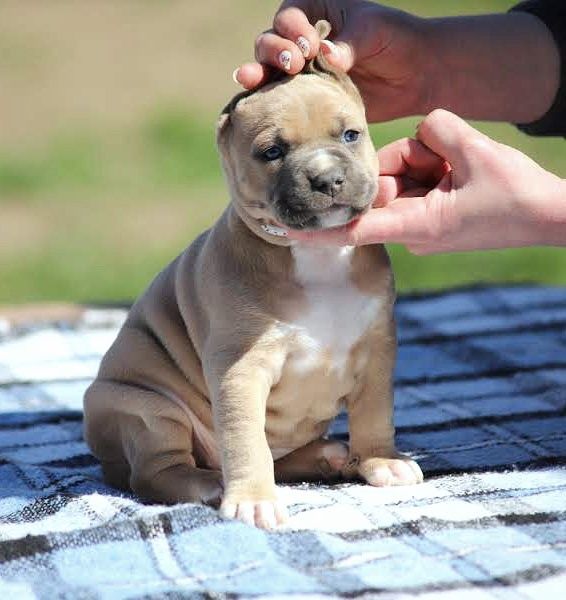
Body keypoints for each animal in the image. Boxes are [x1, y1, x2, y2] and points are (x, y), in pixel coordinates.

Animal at [83, 23, 422, 528]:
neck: (315, 254)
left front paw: (382, 459)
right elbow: (246, 440)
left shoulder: (377, 349)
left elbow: (375, 411)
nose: (327, 179)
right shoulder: (240, 368)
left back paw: (328, 456)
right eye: (272, 152)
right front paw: (253, 500)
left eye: (350, 135)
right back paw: (206, 484)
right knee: (153, 470)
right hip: (145, 408)